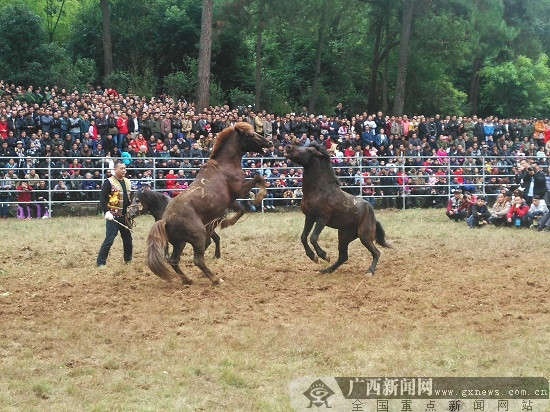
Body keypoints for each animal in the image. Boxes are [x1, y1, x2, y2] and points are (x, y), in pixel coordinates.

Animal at [148, 120, 270, 284]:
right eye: (250, 135)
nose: (269, 142)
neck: (225, 165)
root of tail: (165, 220)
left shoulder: (229, 201)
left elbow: (241, 209)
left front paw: (227, 222)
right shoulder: (239, 190)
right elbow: (258, 177)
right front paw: (259, 197)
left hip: (179, 243)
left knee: (174, 260)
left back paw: (187, 279)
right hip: (198, 235)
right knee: (198, 260)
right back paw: (216, 279)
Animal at [284, 141, 392, 274]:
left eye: (309, 150)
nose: (288, 147)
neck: (319, 190)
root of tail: (374, 218)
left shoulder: (322, 219)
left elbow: (313, 238)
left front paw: (324, 256)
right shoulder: (309, 217)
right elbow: (303, 237)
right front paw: (313, 257)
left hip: (364, 236)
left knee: (376, 253)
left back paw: (370, 271)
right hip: (344, 236)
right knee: (343, 256)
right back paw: (326, 270)